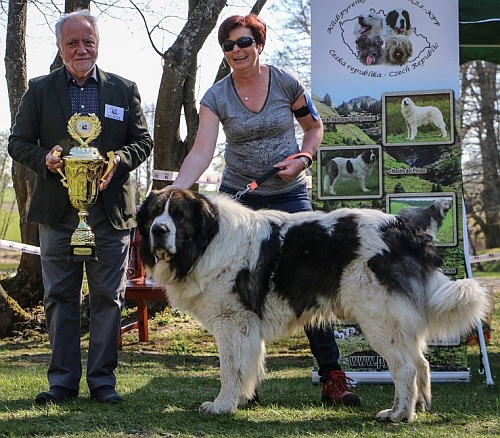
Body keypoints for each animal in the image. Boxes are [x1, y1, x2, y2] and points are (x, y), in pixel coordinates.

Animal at [138, 187, 488, 420]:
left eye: (179, 215)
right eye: (155, 214)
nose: (158, 230)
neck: (207, 240)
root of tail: (404, 230)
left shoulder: (233, 322)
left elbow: (230, 370)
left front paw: (222, 405)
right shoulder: (245, 328)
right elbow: (247, 367)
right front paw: (241, 400)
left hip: (378, 318)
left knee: (404, 368)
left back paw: (398, 414)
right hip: (397, 321)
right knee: (421, 363)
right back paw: (419, 407)